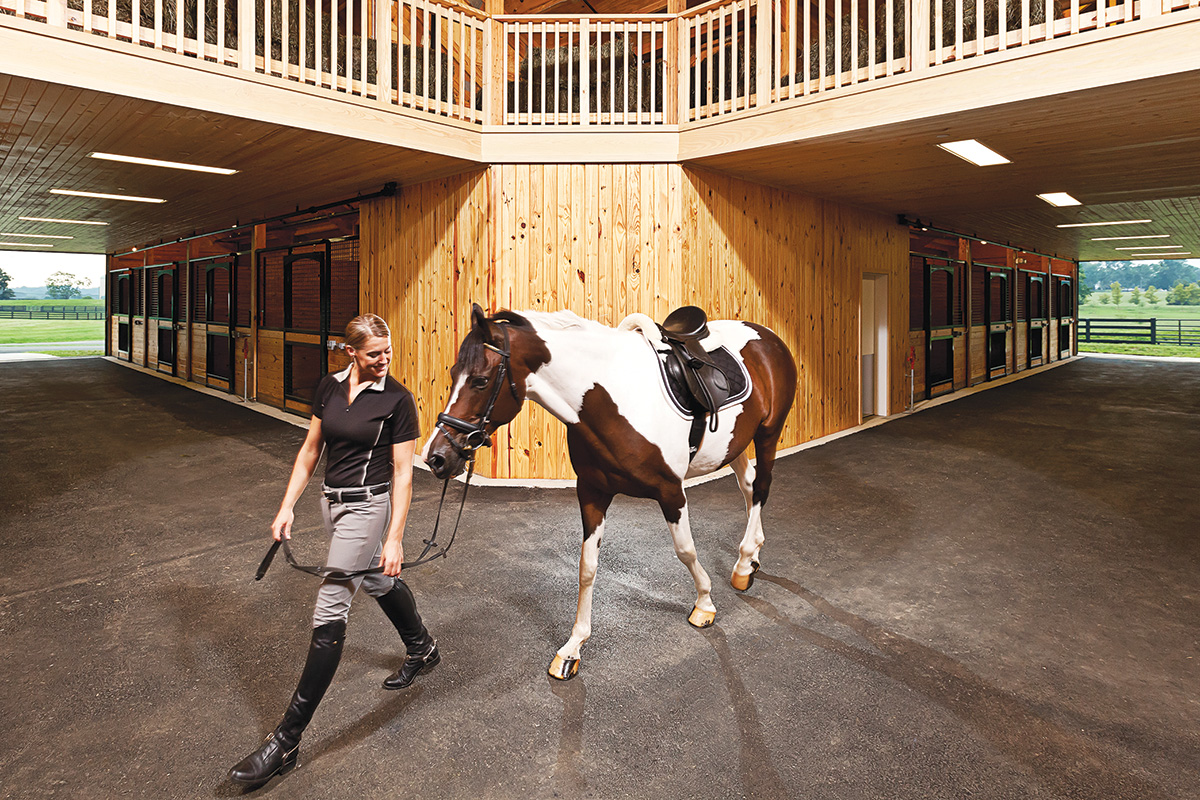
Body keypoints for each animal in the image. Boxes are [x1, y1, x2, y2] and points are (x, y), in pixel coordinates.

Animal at [422, 303, 796, 681]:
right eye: (452, 373)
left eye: (481, 380)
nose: (436, 456)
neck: (611, 399)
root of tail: (767, 335)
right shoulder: (592, 492)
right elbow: (587, 568)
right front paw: (572, 649)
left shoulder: (671, 492)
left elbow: (685, 550)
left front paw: (704, 603)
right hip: (735, 444)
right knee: (748, 485)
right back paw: (750, 557)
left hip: (768, 433)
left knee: (760, 487)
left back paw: (744, 566)